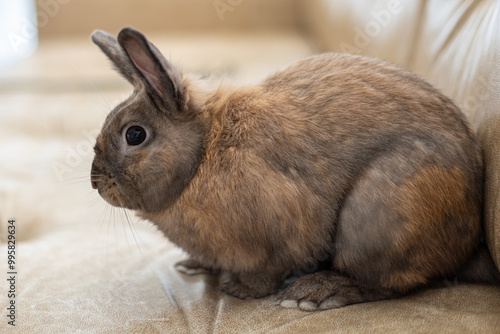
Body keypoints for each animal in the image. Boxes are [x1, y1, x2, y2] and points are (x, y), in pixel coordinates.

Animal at [88, 27, 498, 312]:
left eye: (134, 134)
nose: (95, 183)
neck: (204, 152)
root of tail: (469, 245)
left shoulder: (272, 241)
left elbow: (266, 275)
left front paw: (239, 290)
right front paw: (195, 265)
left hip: (376, 216)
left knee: (391, 282)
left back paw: (317, 293)